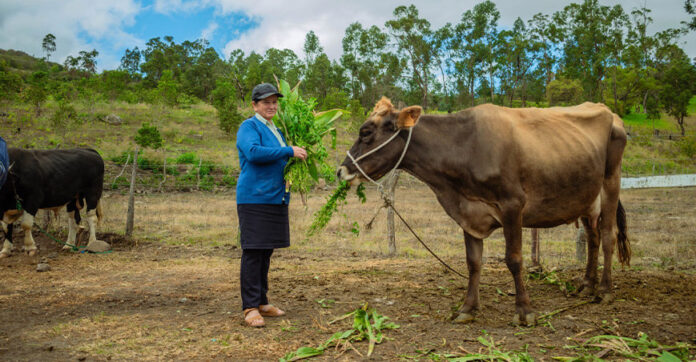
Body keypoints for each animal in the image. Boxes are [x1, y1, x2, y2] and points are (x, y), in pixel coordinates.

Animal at [338, 98, 632, 326]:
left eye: (366, 132)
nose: (341, 171)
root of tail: (610, 113)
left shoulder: (513, 205)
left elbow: (514, 259)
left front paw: (524, 311)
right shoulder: (468, 212)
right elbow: (473, 262)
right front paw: (467, 309)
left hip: (611, 181)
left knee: (608, 236)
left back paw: (604, 290)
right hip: (585, 197)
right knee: (593, 239)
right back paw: (586, 284)